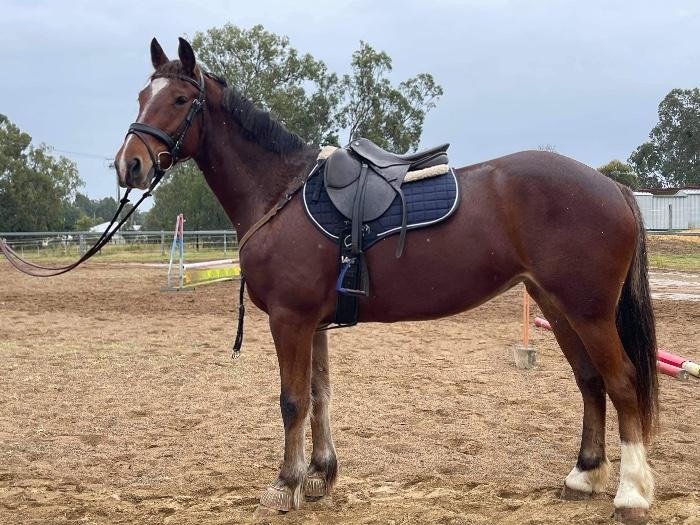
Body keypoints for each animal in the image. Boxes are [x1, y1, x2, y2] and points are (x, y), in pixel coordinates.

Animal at [115, 37, 658, 524]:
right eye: (141, 97)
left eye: (179, 100)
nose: (129, 165)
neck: (280, 193)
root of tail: (613, 186)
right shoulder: (313, 324)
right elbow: (320, 396)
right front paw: (320, 476)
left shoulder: (290, 321)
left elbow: (292, 401)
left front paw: (286, 485)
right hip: (555, 305)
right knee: (590, 381)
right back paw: (583, 476)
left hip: (588, 312)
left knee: (622, 382)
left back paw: (631, 494)